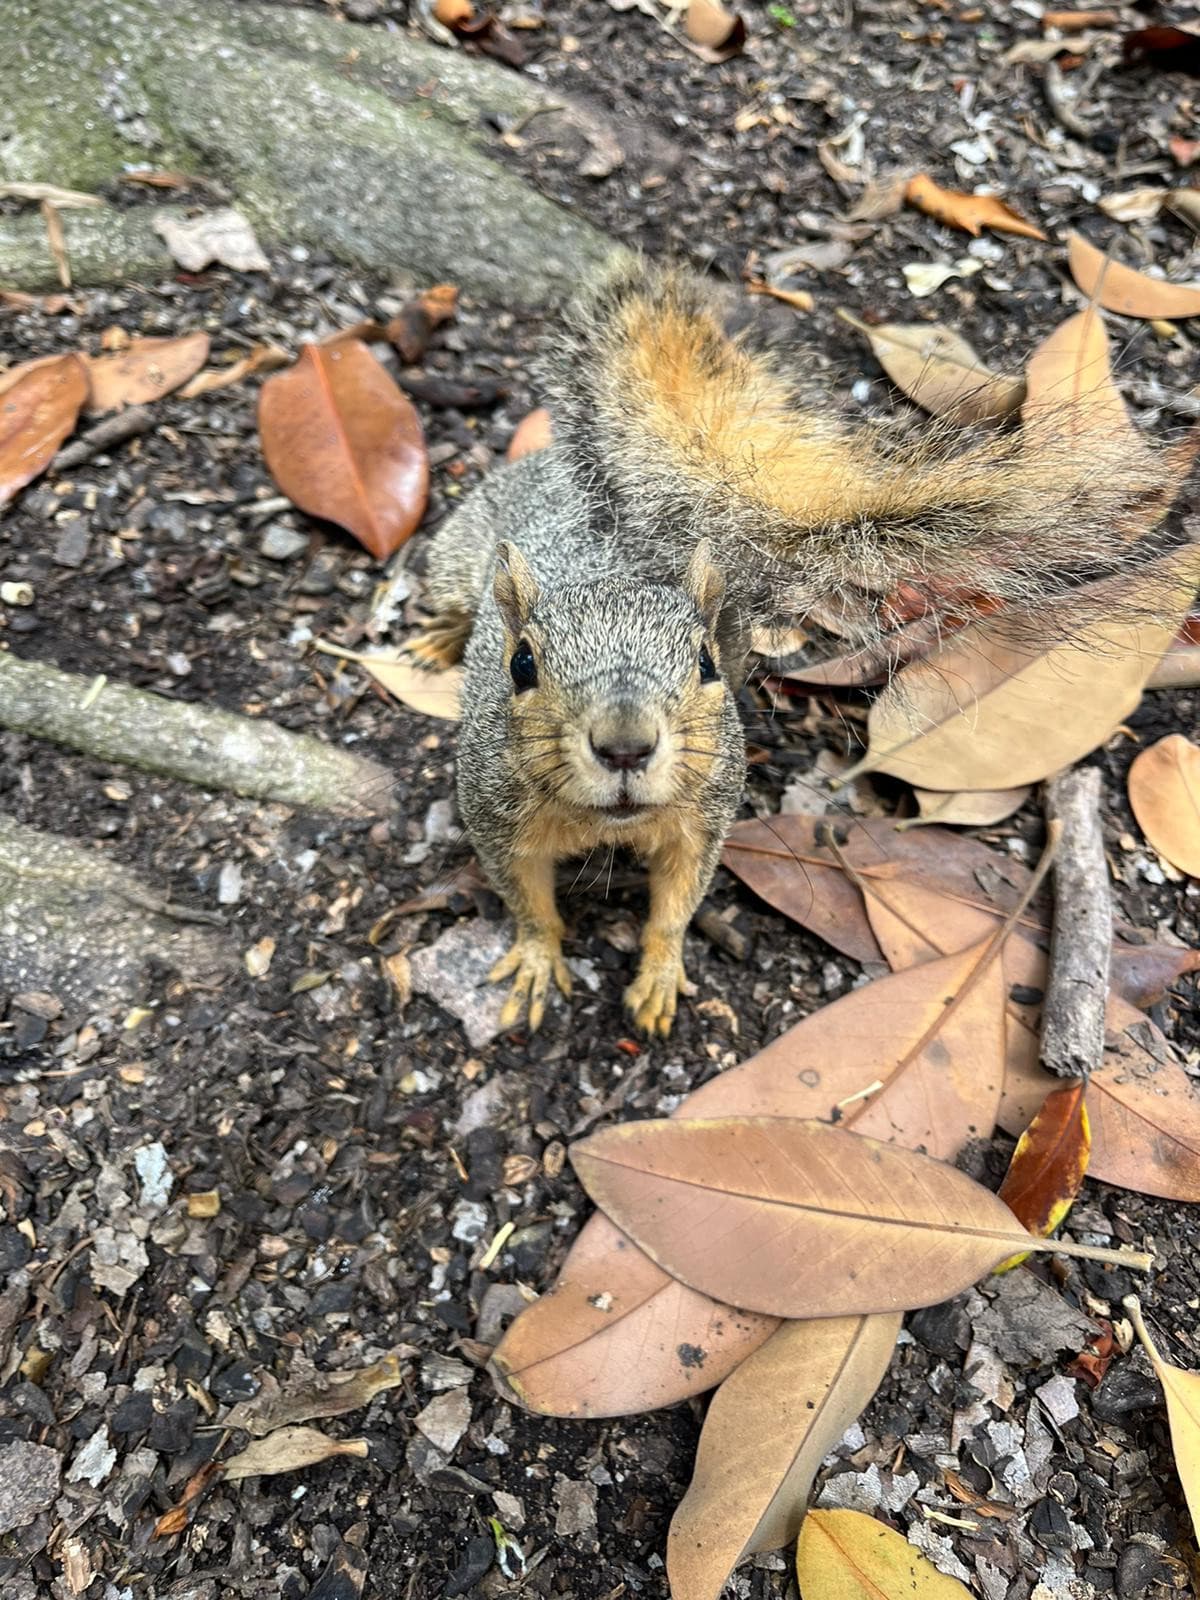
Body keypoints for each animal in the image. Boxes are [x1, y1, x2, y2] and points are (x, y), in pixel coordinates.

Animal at [412, 256, 1177, 1030]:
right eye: (521, 665)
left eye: (705, 662)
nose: (625, 747)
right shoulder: (495, 816)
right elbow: (528, 903)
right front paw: (539, 959)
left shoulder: (702, 818)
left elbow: (676, 905)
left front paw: (659, 976)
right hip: (455, 552)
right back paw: (438, 638)